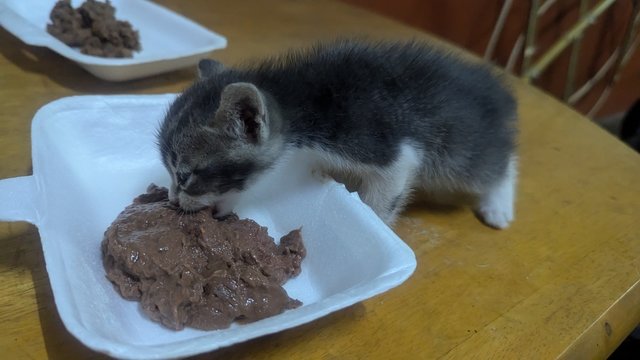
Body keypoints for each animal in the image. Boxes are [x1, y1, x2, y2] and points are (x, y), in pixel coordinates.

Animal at [158, 40, 516, 228]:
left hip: (460, 149)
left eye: (185, 175)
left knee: (499, 162)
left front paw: (379, 226)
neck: (298, 101)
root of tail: (498, 92)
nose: (172, 199)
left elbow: (382, 198)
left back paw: (499, 204)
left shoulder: (389, 150)